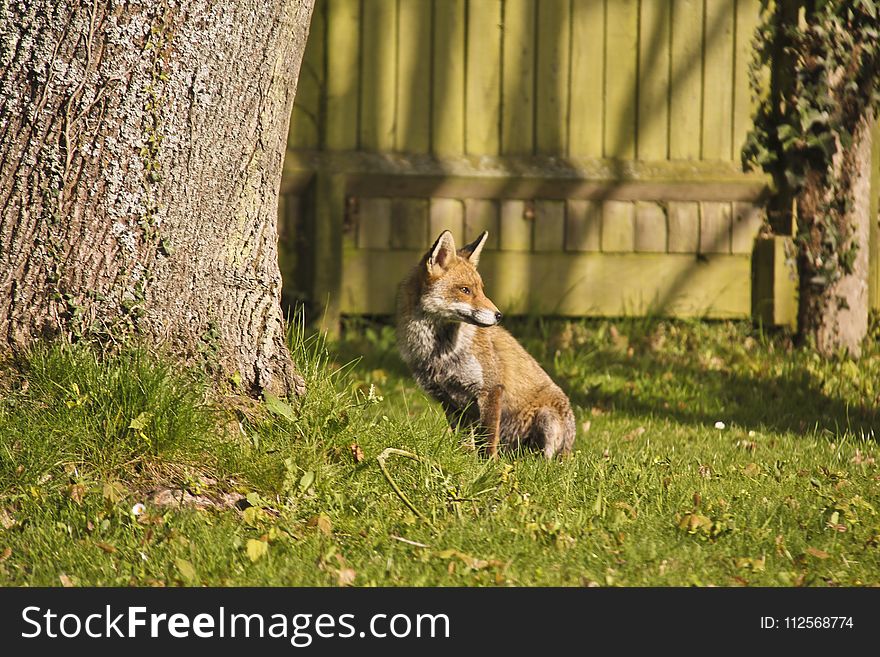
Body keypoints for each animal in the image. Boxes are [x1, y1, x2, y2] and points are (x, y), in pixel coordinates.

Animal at [396, 233, 576, 458]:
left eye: (481, 290)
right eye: (465, 290)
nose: (499, 316)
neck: (441, 354)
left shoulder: (490, 389)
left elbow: (488, 439)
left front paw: (489, 464)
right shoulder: (449, 401)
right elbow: (464, 441)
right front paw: (465, 459)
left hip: (547, 418)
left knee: (548, 458)